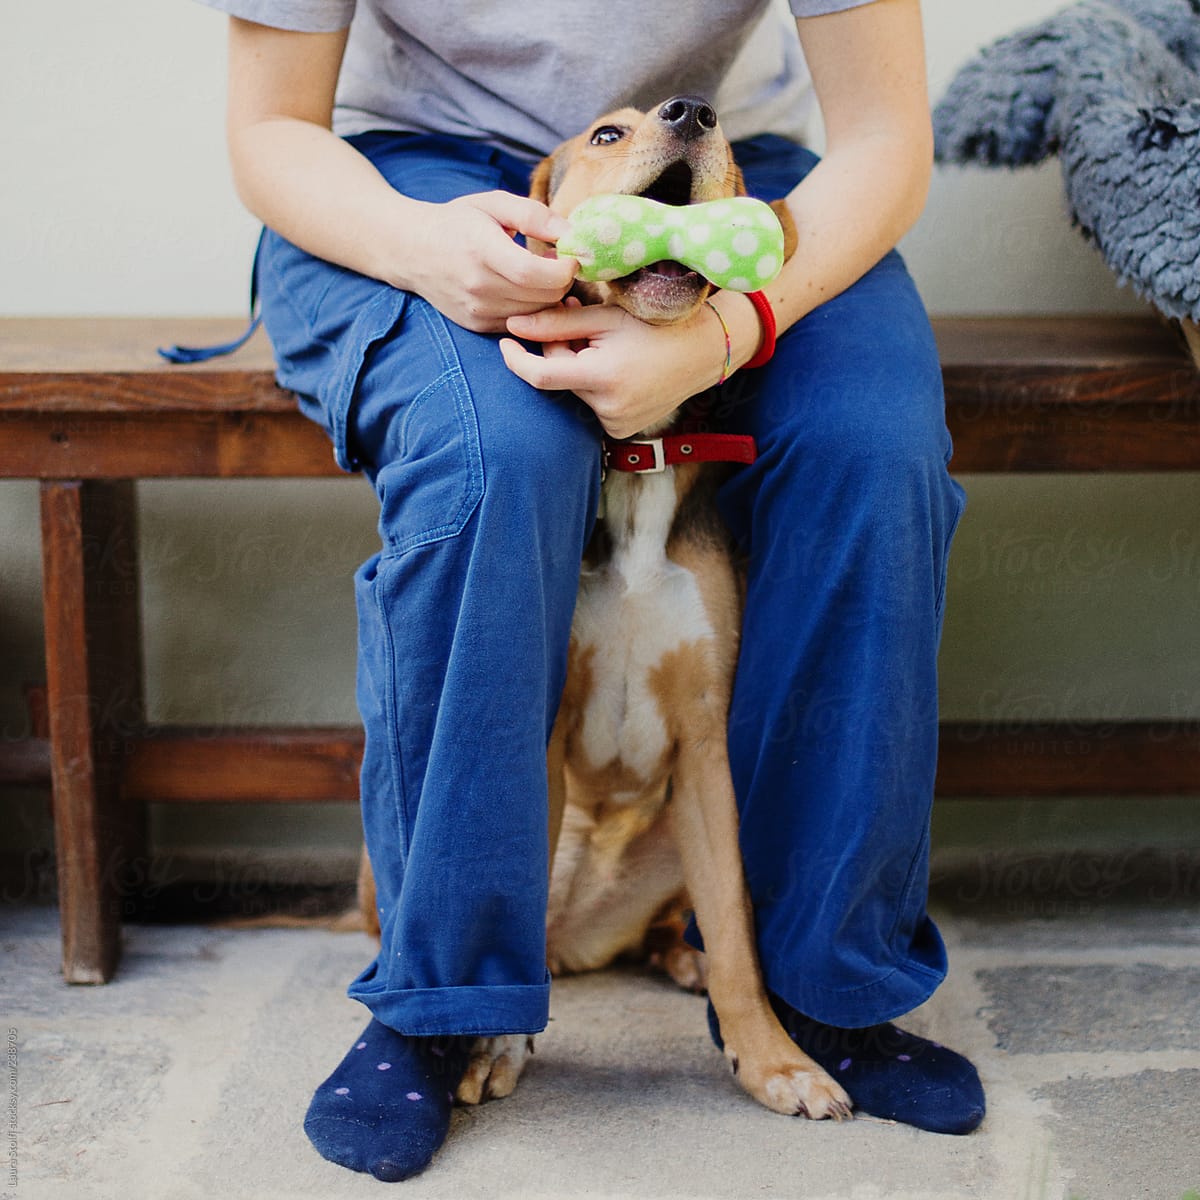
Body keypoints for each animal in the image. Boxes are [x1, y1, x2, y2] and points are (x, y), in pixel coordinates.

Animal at [360, 98, 849, 1118]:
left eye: (724, 138)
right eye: (607, 137)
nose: (692, 110)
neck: (638, 456)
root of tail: (580, 940)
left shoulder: (706, 746)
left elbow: (737, 929)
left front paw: (773, 1058)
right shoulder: (540, 732)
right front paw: (495, 1045)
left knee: (683, 923)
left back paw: (678, 958)